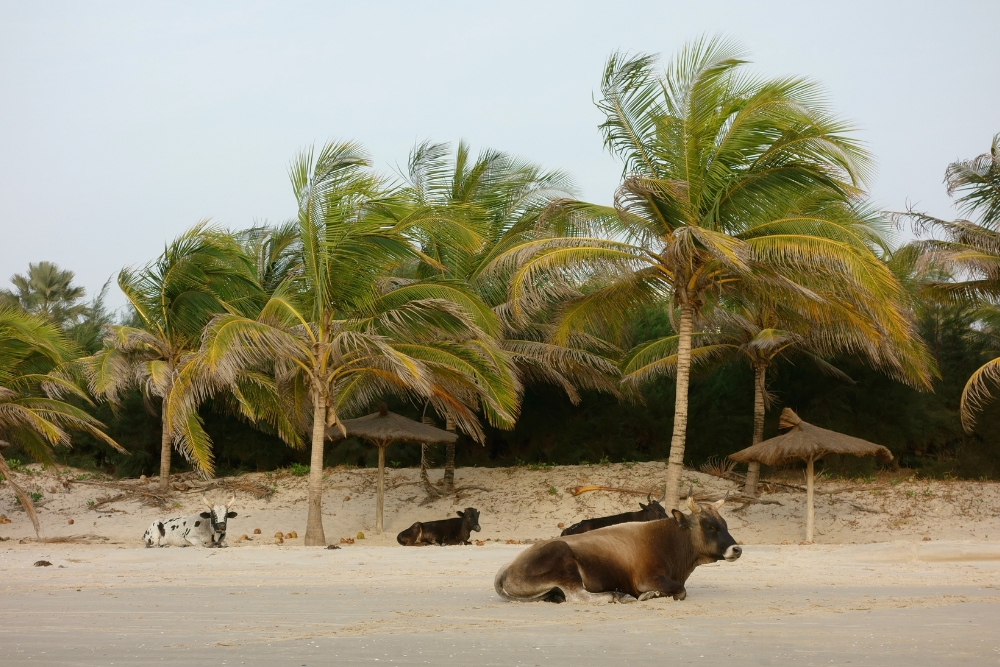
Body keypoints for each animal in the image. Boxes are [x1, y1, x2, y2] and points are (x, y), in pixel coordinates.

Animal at [494, 496, 740, 604]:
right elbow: (680, 591)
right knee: (578, 596)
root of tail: (508, 567)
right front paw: (651, 595)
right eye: (710, 526)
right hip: (563, 558)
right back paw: (617, 595)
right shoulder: (647, 579)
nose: (737, 549)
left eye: (725, 524)